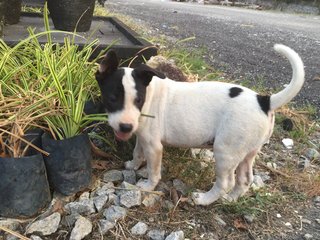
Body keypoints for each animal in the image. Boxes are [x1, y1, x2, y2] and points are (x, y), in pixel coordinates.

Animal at [95, 44, 304, 205]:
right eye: (112, 98)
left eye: (138, 100)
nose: (125, 127)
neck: (150, 94)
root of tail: (264, 101)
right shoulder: (143, 136)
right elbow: (137, 152)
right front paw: (132, 165)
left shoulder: (154, 147)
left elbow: (153, 171)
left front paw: (147, 186)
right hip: (247, 151)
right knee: (244, 180)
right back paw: (230, 199)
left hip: (225, 151)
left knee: (226, 182)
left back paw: (204, 199)